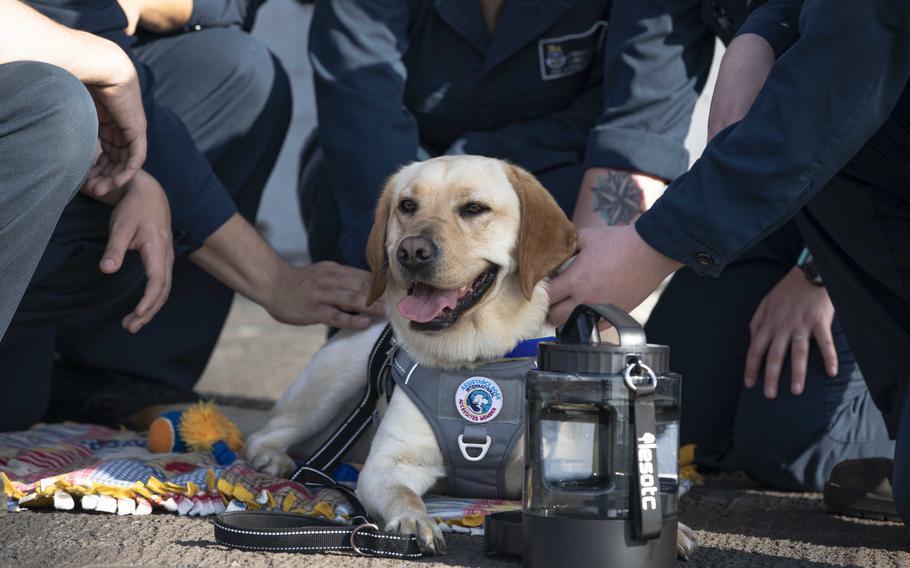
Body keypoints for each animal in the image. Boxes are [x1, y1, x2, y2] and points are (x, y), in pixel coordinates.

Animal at [246, 154, 696, 556]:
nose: (412, 251)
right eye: (407, 206)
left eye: (474, 209)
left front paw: (675, 529)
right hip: (334, 383)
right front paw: (415, 521)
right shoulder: (389, 465)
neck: (477, 357)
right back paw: (272, 460)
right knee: (268, 431)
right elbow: (404, 495)